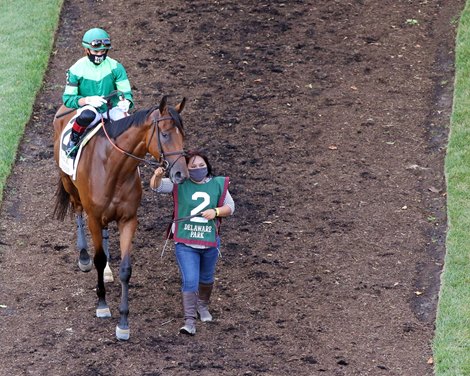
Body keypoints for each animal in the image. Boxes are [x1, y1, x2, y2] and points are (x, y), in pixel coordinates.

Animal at [52, 94, 188, 340]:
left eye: (182, 135)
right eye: (165, 134)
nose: (181, 173)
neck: (113, 167)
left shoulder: (128, 220)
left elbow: (126, 269)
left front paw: (124, 323)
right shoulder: (94, 218)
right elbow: (98, 259)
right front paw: (102, 304)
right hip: (69, 185)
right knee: (77, 211)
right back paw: (83, 255)